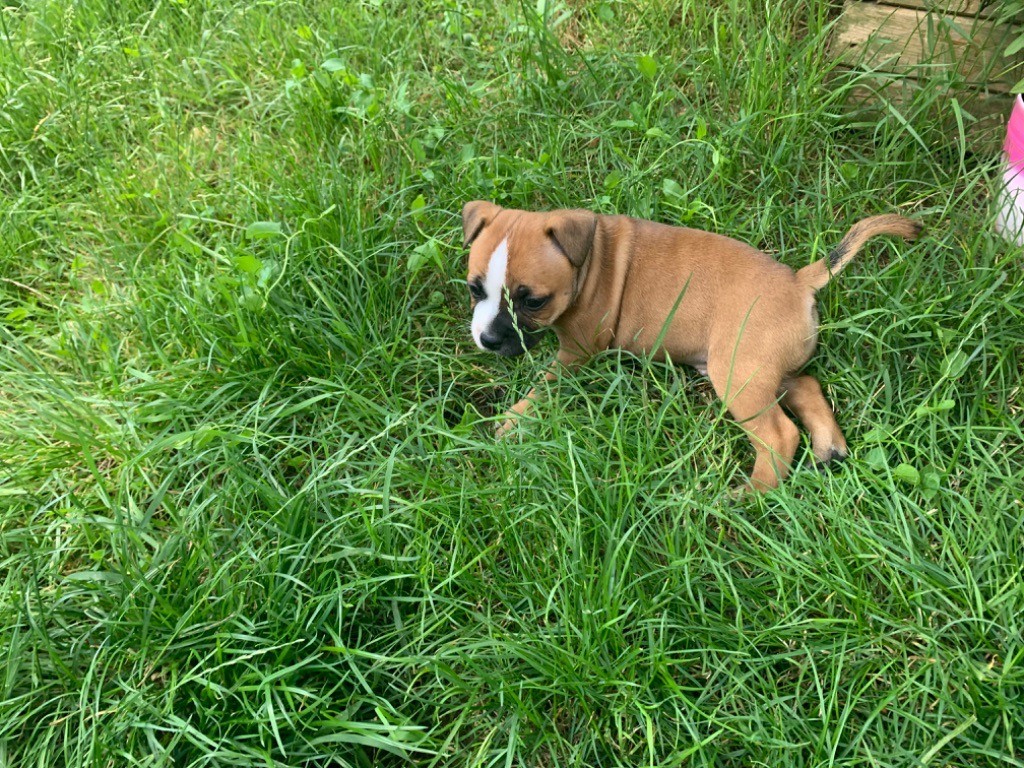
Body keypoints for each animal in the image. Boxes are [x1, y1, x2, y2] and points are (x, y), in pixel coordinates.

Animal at [462, 201, 920, 491]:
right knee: (807, 385)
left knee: (779, 434)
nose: (487, 340)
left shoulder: (577, 352)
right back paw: (829, 448)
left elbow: (546, 384)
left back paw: (750, 495)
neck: (589, 261)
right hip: (760, 367)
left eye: (533, 301)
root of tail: (800, 281)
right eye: (474, 289)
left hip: (738, 373)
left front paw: (513, 420)